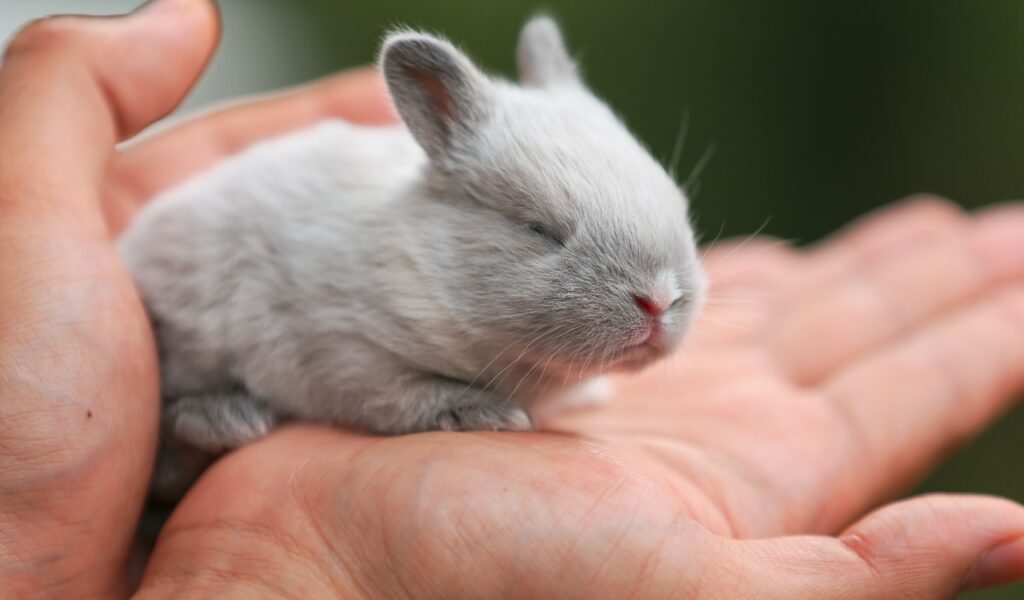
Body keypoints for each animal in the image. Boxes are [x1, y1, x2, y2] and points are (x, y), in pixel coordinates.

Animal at [119, 16, 708, 497]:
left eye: (679, 204)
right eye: (540, 229)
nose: (658, 302)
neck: (429, 267)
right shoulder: (342, 351)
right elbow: (399, 395)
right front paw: (484, 413)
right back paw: (223, 419)